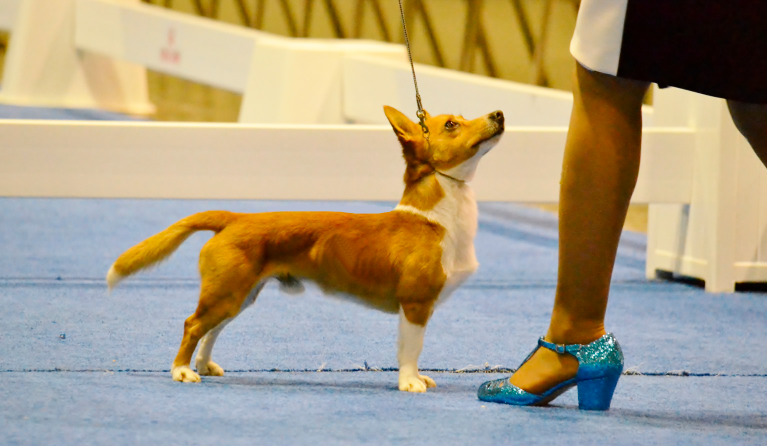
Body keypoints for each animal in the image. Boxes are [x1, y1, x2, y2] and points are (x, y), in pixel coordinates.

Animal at [106, 106, 504, 392]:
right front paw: (409, 382)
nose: (498, 115)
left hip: (240, 293)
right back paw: (182, 371)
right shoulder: (415, 304)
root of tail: (234, 218)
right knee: (193, 324)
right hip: (227, 292)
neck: (437, 217)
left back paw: (203, 365)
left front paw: (418, 378)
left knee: (210, 329)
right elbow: (410, 349)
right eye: (451, 124)